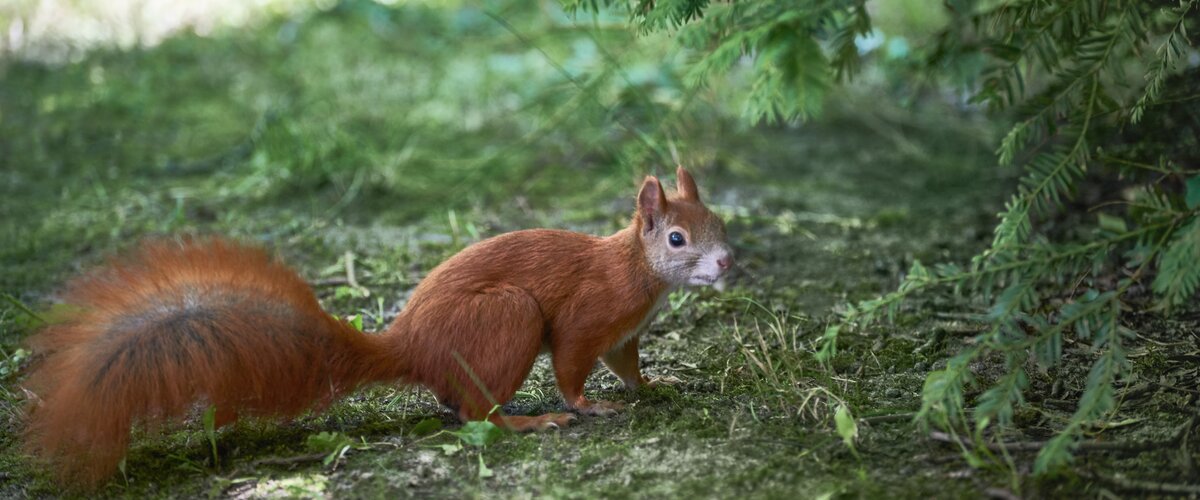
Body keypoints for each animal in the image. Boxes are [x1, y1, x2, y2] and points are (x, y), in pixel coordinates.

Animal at [23, 166, 729, 484]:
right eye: (675, 237)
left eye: (721, 223)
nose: (726, 262)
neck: (634, 271)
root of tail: (411, 344)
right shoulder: (587, 317)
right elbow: (574, 365)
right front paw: (588, 405)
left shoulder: (626, 334)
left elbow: (628, 365)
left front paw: (653, 387)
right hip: (507, 316)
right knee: (474, 412)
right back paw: (528, 422)